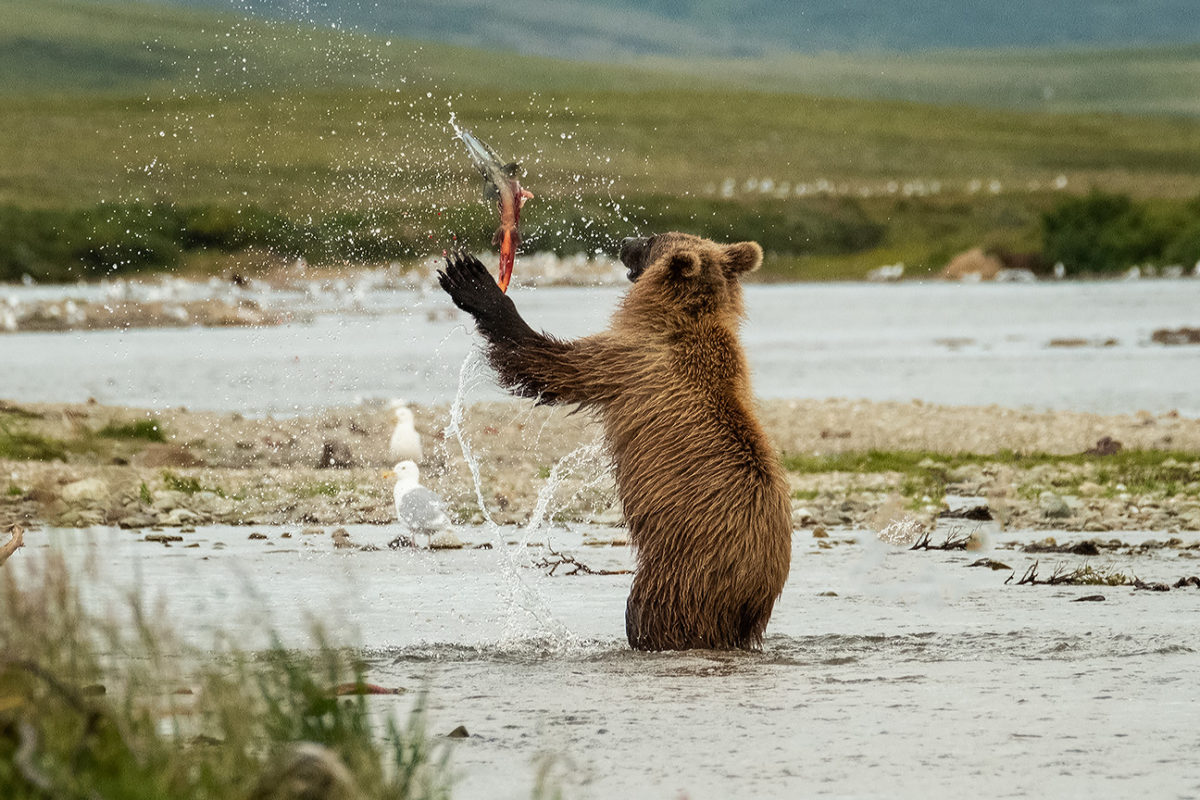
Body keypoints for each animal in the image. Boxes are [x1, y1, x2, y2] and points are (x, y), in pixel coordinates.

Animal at [438, 232, 792, 650]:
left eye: (651, 239)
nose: (625, 241)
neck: (680, 317)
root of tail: (755, 591)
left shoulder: (627, 361)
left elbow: (547, 364)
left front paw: (472, 281)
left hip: (686, 570)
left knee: (650, 611)